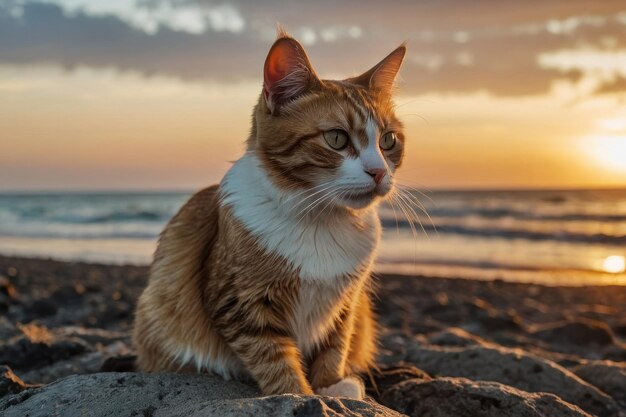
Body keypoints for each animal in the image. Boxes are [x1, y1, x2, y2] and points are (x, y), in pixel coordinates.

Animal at [132, 30, 404, 398]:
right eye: (336, 138)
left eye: (388, 141)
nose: (378, 172)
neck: (320, 220)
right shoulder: (242, 304)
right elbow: (275, 361)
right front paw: (301, 394)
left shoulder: (346, 303)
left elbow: (335, 346)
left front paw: (330, 387)